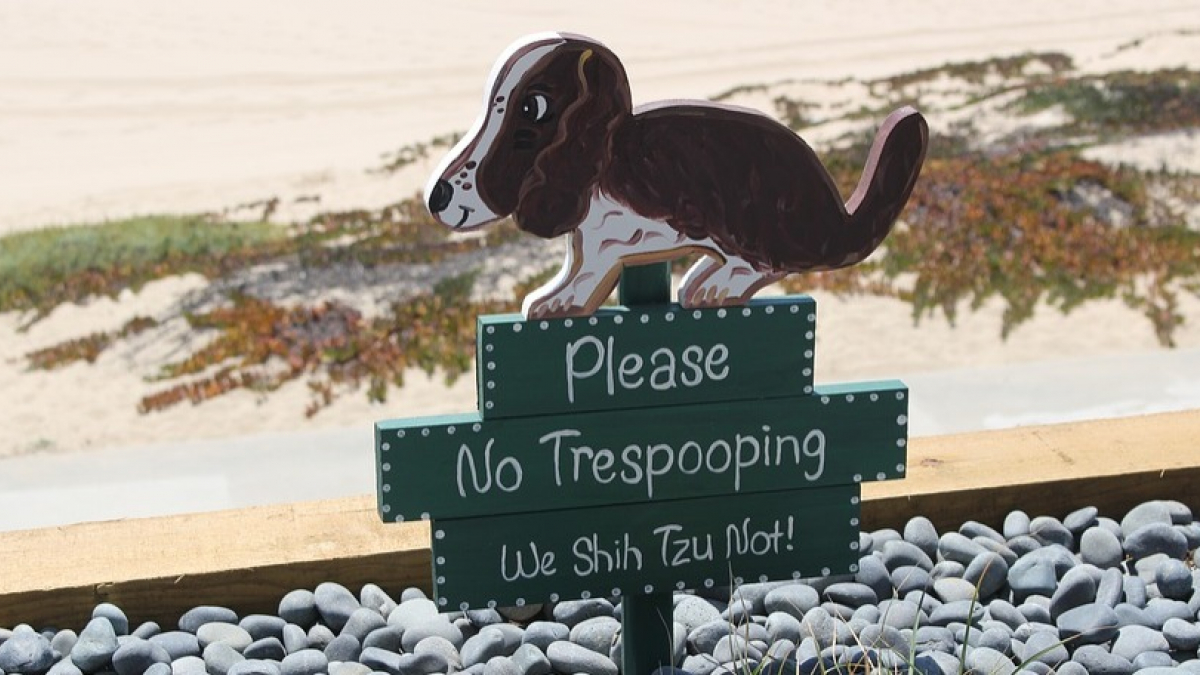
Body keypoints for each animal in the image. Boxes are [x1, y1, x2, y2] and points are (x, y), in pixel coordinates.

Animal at [427, 30, 931, 314]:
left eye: (533, 107)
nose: (437, 198)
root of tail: (833, 215)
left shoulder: (609, 241)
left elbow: (590, 271)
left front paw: (558, 302)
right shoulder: (588, 238)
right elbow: (579, 263)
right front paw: (552, 298)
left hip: (751, 219)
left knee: (771, 265)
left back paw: (717, 287)